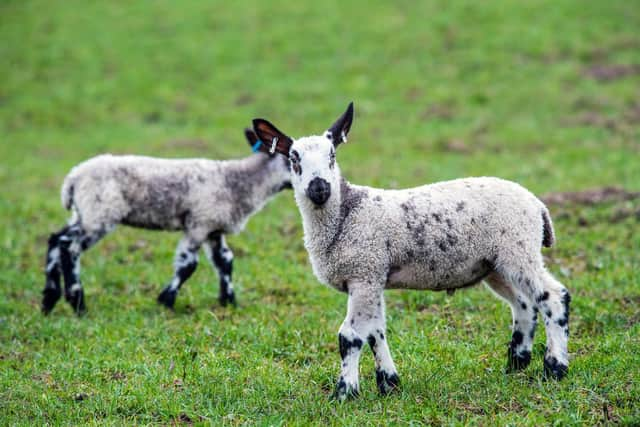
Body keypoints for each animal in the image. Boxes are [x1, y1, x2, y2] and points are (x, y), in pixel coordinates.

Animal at [44, 130, 292, 314]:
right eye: (292, 159)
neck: (237, 182)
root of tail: (73, 179)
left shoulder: (213, 228)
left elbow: (225, 261)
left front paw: (228, 301)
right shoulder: (199, 223)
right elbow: (188, 264)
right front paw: (166, 300)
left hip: (83, 213)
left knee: (56, 238)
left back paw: (49, 299)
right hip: (99, 213)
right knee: (70, 247)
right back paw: (77, 302)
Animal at [252, 103, 572, 402]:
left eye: (332, 155)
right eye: (293, 159)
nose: (319, 188)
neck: (345, 215)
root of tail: (537, 204)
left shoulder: (364, 272)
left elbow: (350, 336)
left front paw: (344, 393)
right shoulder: (373, 276)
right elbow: (375, 332)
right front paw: (389, 384)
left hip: (518, 248)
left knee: (553, 296)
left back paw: (554, 368)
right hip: (495, 264)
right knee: (524, 305)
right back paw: (516, 364)